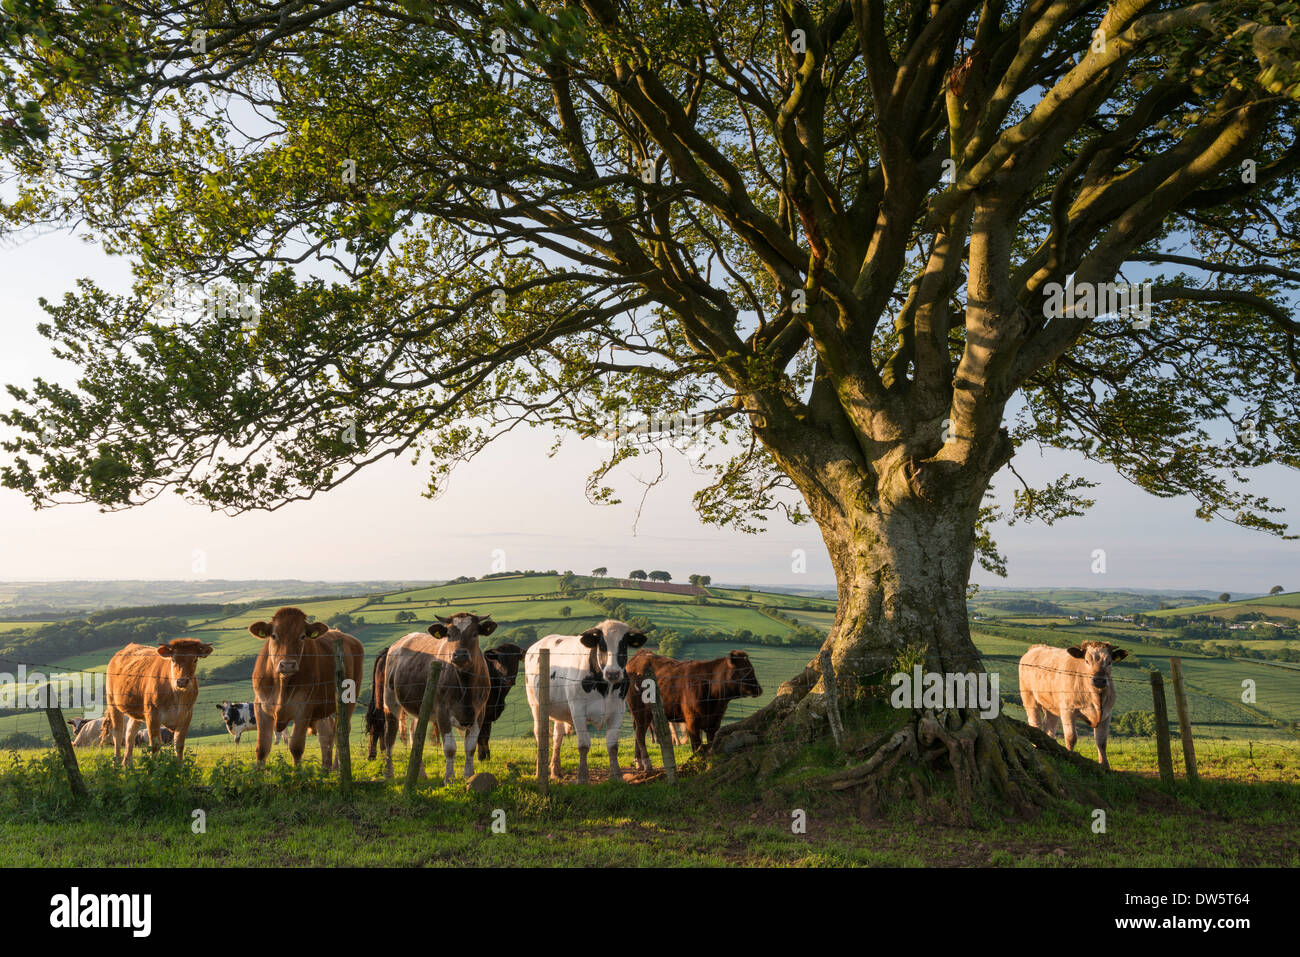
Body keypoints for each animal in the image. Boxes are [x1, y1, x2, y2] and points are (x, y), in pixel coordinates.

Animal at [248, 608, 366, 774]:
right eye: (274, 635)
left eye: (302, 636)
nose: (287, 665)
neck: (282, 684)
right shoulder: (261, 707)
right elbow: (262, 748)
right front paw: (259, 777)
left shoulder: (304, 708)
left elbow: (296, 747)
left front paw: (297, 775)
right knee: (326, 733)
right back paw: (325, 768)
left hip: (348, 699)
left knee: (341, 732)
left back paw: (337, 767)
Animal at [382, 616, 493, 780]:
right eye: (449, 635)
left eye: (474, 634)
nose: (460, 655)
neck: (465, 683)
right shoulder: (442, 711)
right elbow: (450, 748)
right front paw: (450, 779)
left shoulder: (480, 712)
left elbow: (470, 746)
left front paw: (469, 776)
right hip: (390, 700)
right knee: (390, 736)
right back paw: (389, 773)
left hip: (421, 707)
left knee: (415, 733)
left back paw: (421, 774)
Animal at [525, 621, 647, 785]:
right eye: (601, 645)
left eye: (623, 644)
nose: (613, 673)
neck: (604, 686)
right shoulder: (578, 710)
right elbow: (583, 744)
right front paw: (582, 777)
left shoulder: (618, 709)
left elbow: (612, 745)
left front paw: (617, 776)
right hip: (535, 704)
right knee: (540, 733)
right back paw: (540, 771)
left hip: (560, 710)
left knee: (557, 736)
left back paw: (555, 771)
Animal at [621, 642, 759, 769]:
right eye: (745, 670)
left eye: (752, 669)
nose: (758, 689)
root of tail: (639, 655)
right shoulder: (692, 722)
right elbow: (697, 746)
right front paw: (697, 764)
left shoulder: (714, 722)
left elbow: (711, 743)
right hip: (640, 710)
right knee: (640, 734)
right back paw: (646, 762)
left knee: (637, 731)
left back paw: (638, 761)